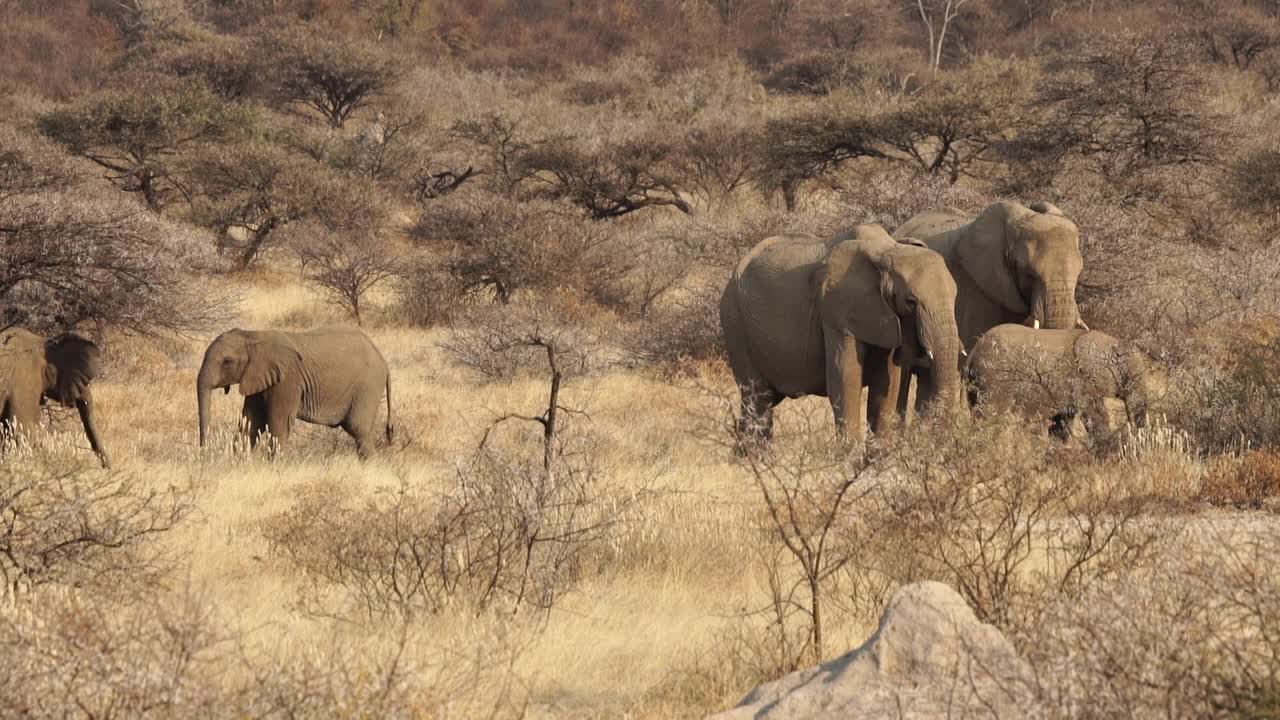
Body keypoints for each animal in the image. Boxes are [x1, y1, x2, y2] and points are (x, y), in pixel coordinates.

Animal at [194, 325, 391, 453]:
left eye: (227, 362)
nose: (204, 451)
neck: (253, 335)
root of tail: (382, 359)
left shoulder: (287, 381)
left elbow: (277, 427)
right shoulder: (259, 379)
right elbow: (250, 423)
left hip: (368, 386)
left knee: (359, 429)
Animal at [721, 222, 962, 443]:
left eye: (955, 297)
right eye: (911, 302)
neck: (887, 250)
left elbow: (887, 386)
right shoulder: (837, 310)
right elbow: (845, 379)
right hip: (735, 322)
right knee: (758, 400)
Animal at [962, 324, 1157, 438]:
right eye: (1127, 376)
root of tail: (972, 354)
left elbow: (1063, 422)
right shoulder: (1082, 381)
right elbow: (1095, 415)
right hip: (994, 381)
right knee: (988, 418)